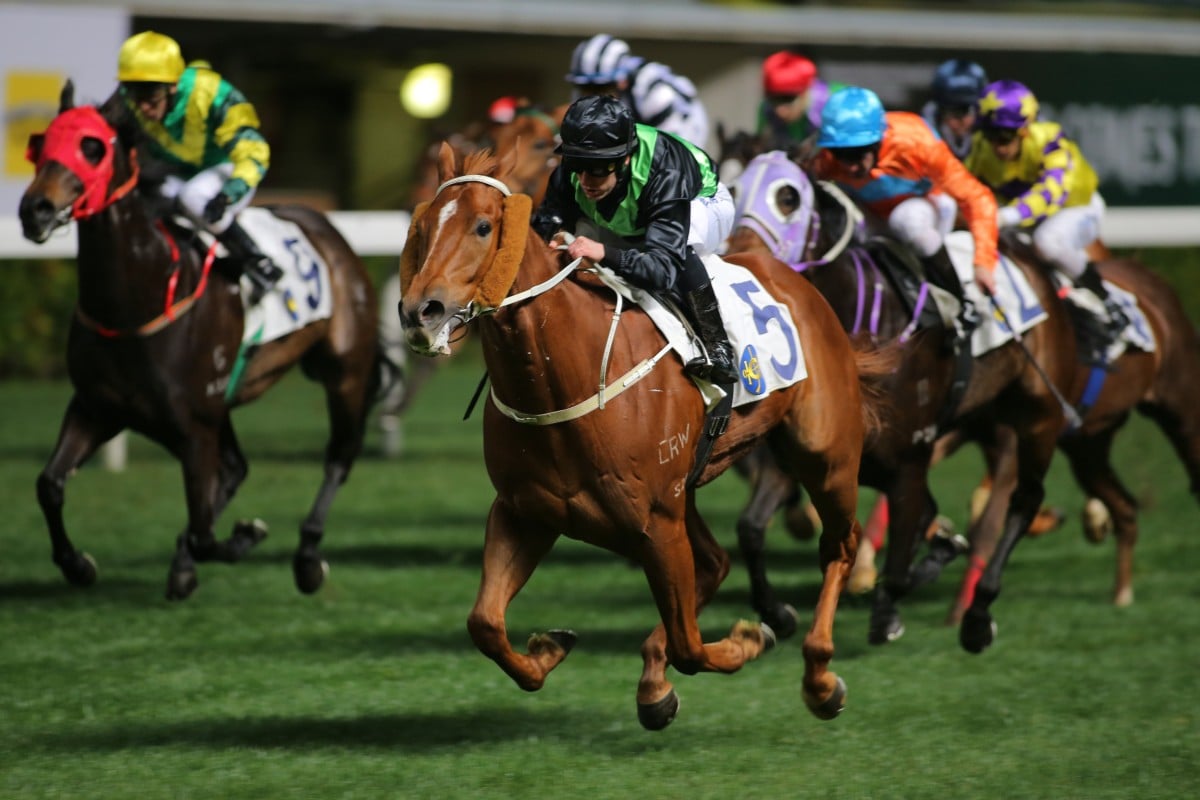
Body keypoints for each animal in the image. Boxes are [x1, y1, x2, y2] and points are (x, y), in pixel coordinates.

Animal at [19, 87, 384, 599]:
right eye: (41, 144)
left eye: (92, 148)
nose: (35, 209)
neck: (139, 298)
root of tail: (328, 229)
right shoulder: (99, 408)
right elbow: (49, 484)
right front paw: (79, 566)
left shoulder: (193, 426)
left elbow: (204, 532)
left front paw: (245, 535)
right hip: (216, 407)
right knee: (235, 469)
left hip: (345, 373)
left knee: (339, 457)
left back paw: (308, 558)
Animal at [398, 143, 888, 734]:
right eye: (423, 226)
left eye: (483, 226)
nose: (420, 312)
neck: (568, 375)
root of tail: (790, 277)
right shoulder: (527, 512)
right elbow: (485, 623)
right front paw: (551, 649)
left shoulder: (656, 521)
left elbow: (691, 646)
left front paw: (749, 639)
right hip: (688, 489)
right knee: (717, 562)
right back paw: (658, 680)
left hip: (825, 455)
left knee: (839, 545)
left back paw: (820, 678)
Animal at [720, 148, 1080, 652]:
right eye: (733, 189)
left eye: (788, 196)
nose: (737, 255)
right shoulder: (800, 455)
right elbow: (751, 528)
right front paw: (777, 612)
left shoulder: (909, 456)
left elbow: (898, 551)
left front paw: (887, 612)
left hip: (1040, 415)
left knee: (1024, 499)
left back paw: (977, 613)